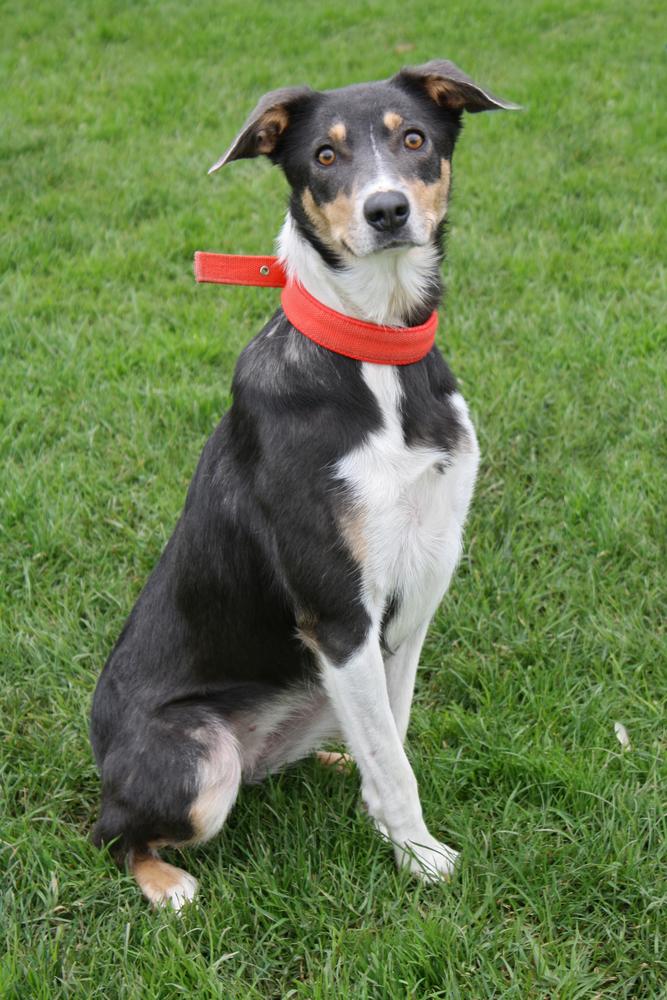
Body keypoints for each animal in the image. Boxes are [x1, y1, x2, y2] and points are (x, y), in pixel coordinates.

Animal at [90, 60, 518, 909]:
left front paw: (385, 827)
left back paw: (325, 764)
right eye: (324, 155)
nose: (386, 210)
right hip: (201, 759)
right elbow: (394, 761)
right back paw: (167, 884)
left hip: (316, 691)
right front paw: (420, 857)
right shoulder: (338, 613)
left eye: (412, 139)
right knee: (110, 831)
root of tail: (100, 755)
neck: (377, 357)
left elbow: (392, 734)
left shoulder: (413, 596)